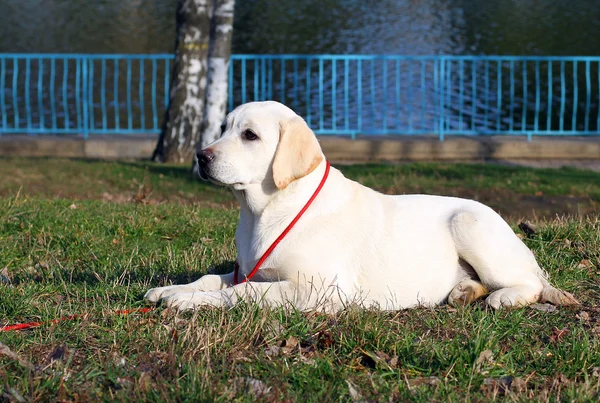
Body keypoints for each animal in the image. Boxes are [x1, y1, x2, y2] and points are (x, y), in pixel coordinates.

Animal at [144, 101, 576, 312]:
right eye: (223, 128)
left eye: (249, 135)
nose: (200, 156)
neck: (265, 213)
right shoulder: (248, 270)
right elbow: (213, 279)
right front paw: (171, 289)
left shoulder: (319, 290)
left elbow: (245, 294)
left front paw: (188, 302)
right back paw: (463, 291)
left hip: (470, 222)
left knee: (531, 285)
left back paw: (503, 297)